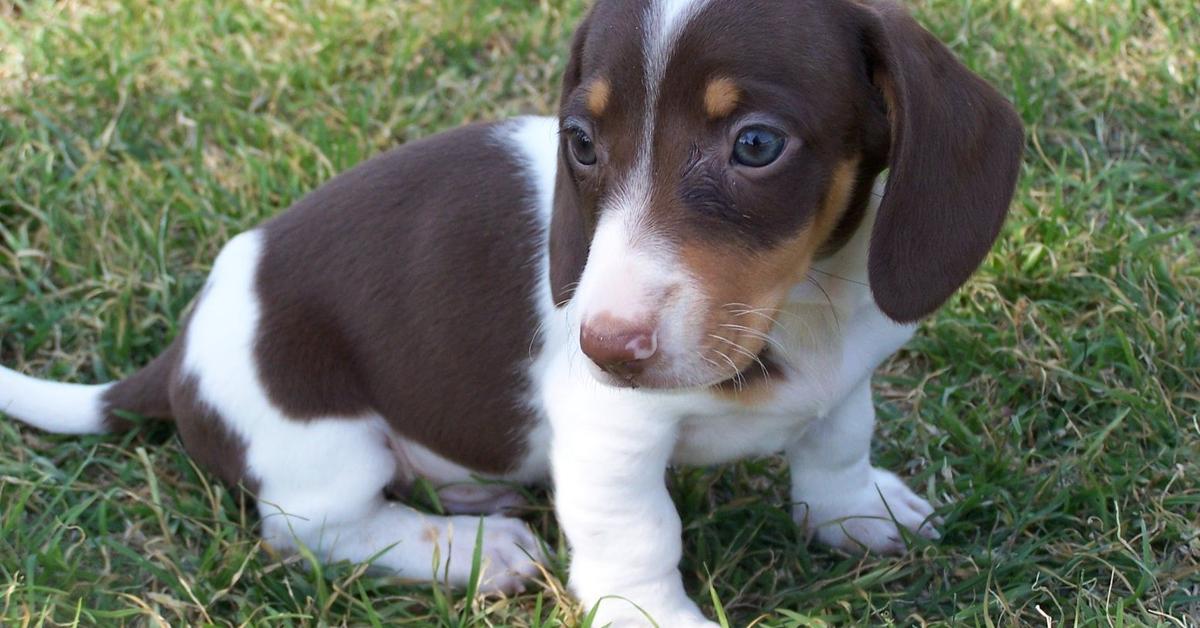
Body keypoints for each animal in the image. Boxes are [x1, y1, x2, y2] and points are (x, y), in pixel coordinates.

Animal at [4, 0, 1027, 624]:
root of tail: (181, 353)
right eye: (582, 140)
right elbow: (639, 537)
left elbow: (836, 445)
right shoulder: (612, 435)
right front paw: (656, 614)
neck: (795, 307)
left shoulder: (847, 375)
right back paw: (470, 548)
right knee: (311, 531)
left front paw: (856, 513)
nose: (604, 345)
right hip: (317, 436)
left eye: (756, 145)